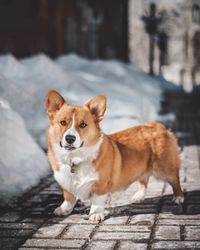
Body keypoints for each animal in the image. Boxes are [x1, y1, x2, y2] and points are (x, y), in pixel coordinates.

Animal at [46, 90, 184, 223]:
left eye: (83, 125)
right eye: (63, 122)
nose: (70, 138)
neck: (74, 159)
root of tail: (159, 126)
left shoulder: (100, 185)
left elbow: (97, 201)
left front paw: (95, 214)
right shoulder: (65, 182)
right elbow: (68, 198)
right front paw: (64, 209)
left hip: (165, 169)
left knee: (175, 180)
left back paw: (178, 197)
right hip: (143, 168)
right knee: (143, 180)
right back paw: (138, 196)